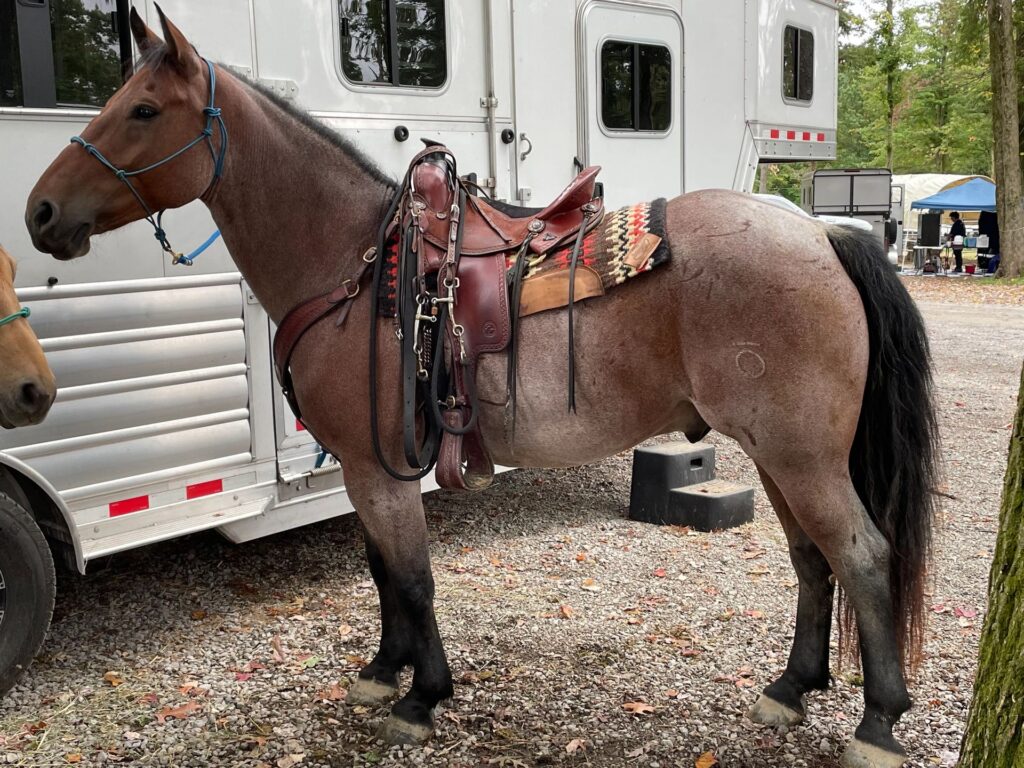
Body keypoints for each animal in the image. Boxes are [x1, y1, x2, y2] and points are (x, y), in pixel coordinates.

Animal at [24, 10, 938, 767]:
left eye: (143, 110)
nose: (39, 212)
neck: (354, 263)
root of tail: (819, 234)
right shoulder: (364, 466)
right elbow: (381, 569)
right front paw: (382, 670)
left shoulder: (382, 465)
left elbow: (413, 576)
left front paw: (422, 698)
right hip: (778, 452)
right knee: (811, 558)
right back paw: (791, 688)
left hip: (801, 454)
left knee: (861, 555)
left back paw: (878, 723)